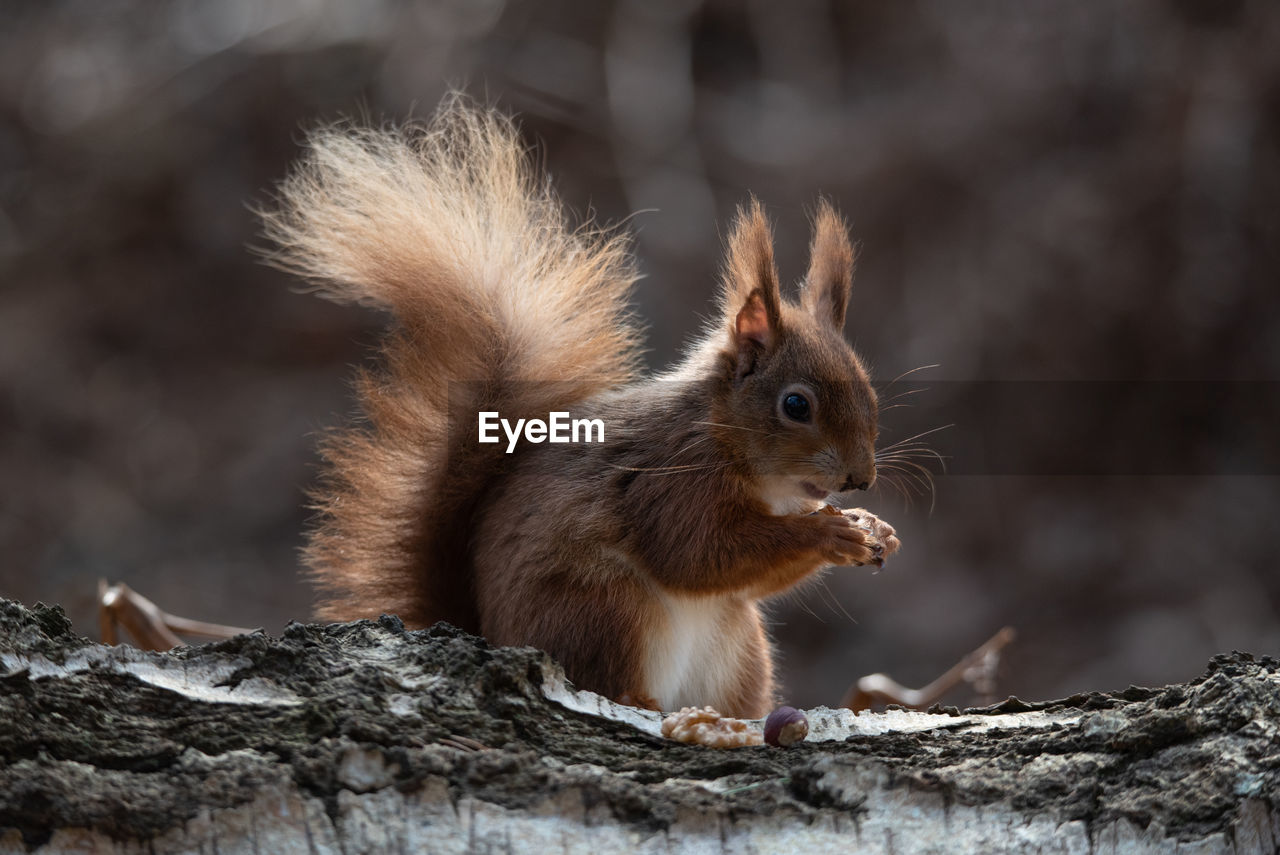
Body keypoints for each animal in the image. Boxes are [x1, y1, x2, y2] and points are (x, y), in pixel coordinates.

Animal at [259, 96, 901, 716]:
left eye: (870, 394)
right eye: (795, 405)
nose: (861, 479)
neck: (727, 439)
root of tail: (489, 630)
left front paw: (875, 529)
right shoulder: (671, 482)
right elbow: (696, 555)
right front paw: (829, 533)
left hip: (740, 646)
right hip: (603, 605)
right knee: (605, 670)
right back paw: (637, 700)